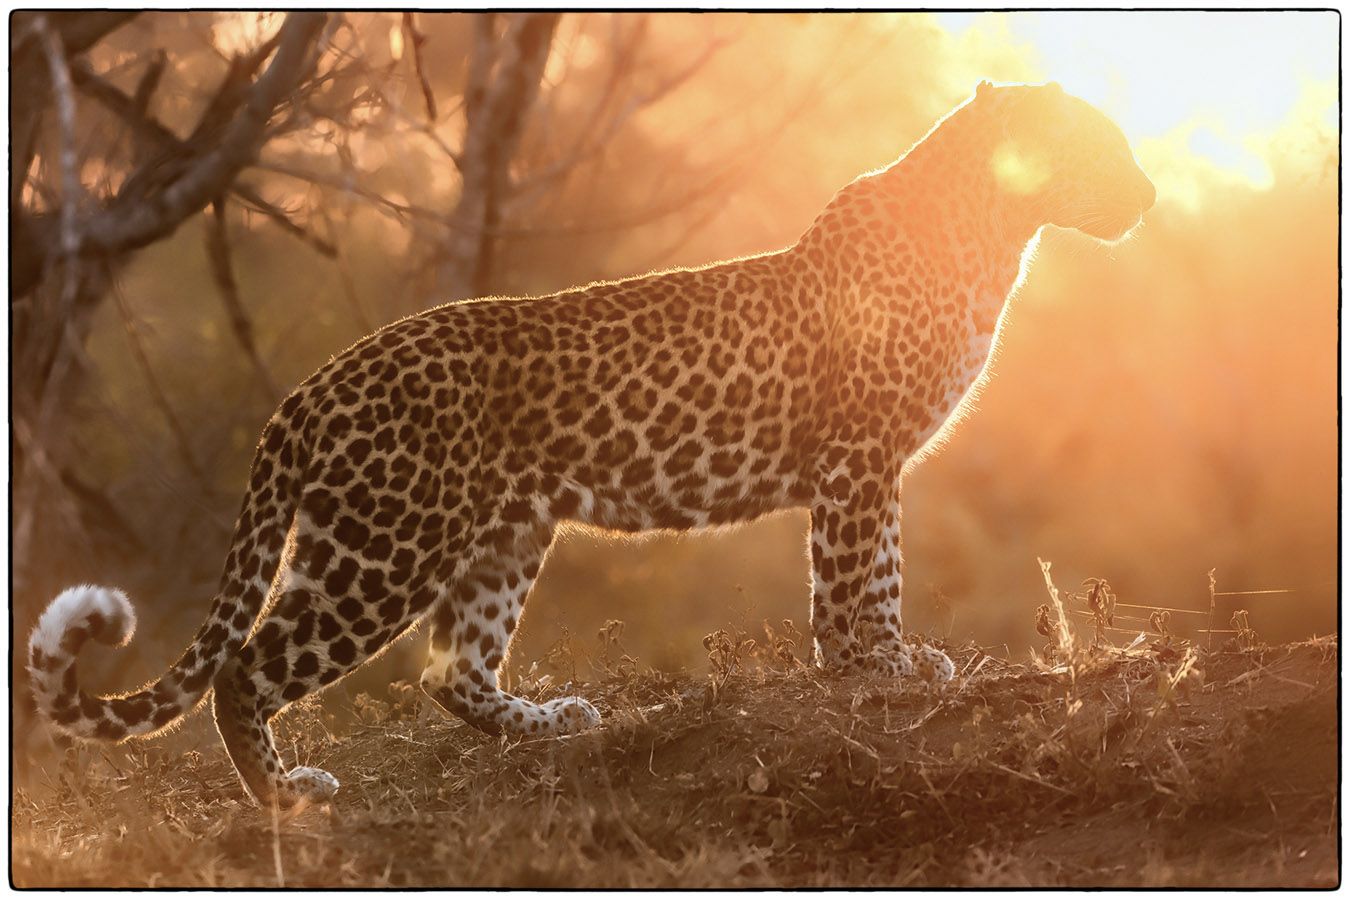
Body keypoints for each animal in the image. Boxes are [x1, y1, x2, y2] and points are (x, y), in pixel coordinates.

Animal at [26, 80, 1155, 804]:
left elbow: (864, 568)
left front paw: (870, 664)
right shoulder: (859, 458)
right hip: (386, 550)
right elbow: (861, 574)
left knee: (451, 667)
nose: (1148, 196)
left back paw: (548, 723)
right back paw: (285, 794)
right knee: (247, 667)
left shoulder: (868, 465)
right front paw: (881, 665)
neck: (994, 230)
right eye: (1102, 144)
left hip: (502, 536)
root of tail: (308, 389)